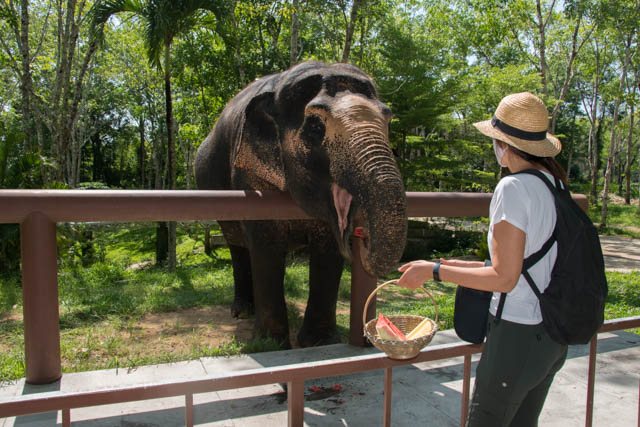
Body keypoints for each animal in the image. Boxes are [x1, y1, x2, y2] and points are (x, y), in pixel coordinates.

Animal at [192, 61, 408, 348]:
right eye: (315, 126)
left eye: (388, 120)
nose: (362, 238)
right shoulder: (249, 175)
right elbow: (266, 244)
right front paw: (271, 345)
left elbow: (328, 249)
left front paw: (319, 342)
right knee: (236, 244)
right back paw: (242, 311)